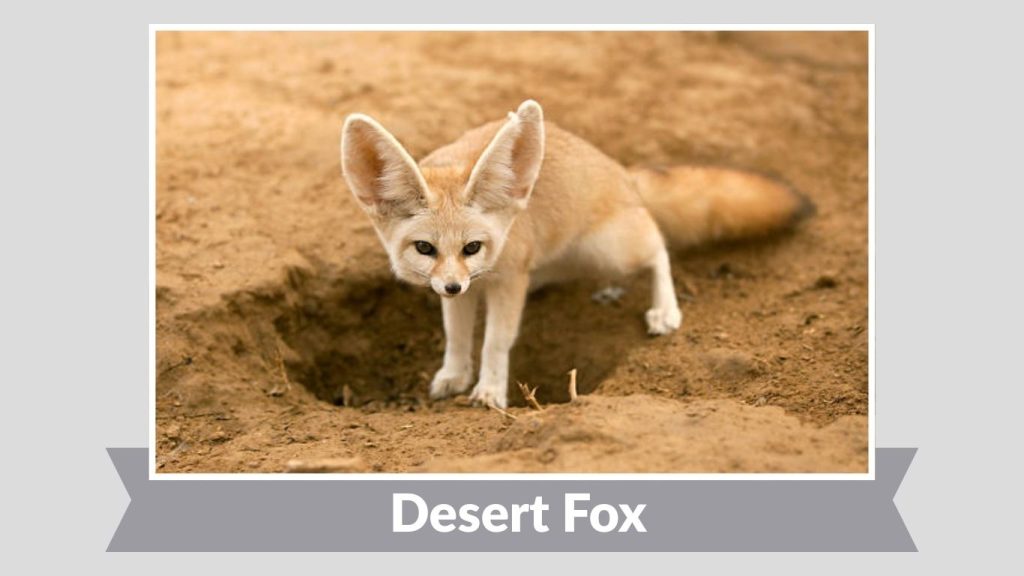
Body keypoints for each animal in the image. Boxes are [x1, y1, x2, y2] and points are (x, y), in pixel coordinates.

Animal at [340, 100, 813, 408]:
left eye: (472, 247)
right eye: (425, 248)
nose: (453, 285)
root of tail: (623, 173)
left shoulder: (507, 280)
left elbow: (495, 341)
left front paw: (490, 391)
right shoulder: (468, 289)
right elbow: (456, 336)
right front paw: (454, 375)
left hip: (610, 247)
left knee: (658, 244)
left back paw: (665, 309)